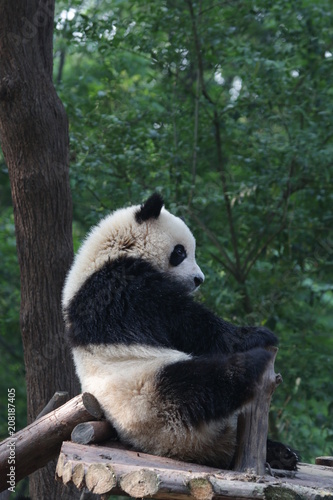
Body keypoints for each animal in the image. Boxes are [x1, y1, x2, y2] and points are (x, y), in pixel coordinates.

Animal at [61, 193, 296, 470]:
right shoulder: (117, 288)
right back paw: (252, 364)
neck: (111, 251)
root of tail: (184, 445)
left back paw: (282, 454)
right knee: (203, 383)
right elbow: (186, 321)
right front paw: (256, 334)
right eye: (180, 251)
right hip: (148, 393)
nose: (198, 279)